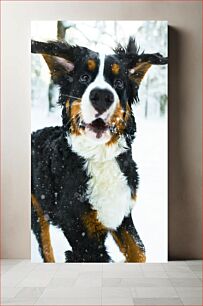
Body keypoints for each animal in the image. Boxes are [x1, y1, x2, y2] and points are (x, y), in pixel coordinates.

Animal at [31, 37, 168, 262]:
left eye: (119, 82)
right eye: (84, 77)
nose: (102, 96)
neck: (100, 157)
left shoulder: (121, 213)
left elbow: (139, 252)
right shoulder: (83, 236)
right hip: (37, 210)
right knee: (47, 249)